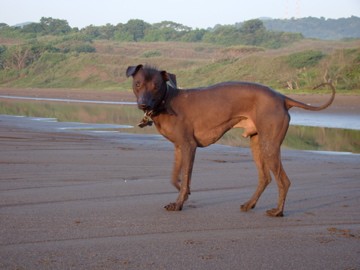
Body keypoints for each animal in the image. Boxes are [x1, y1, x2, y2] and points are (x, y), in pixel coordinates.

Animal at [126, 64, 334, 216]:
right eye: (138, 84)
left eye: (156, 86)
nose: (143, 104)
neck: (166, 100)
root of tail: (282, 97)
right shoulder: (179, 147)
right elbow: (175, 177)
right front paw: (183, 192)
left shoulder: (189, 146)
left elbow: (186, 178)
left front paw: (179, 203)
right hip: (257, 144)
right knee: (265, 178)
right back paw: (250, 204)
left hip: (270, 146)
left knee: (284, 181)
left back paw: (278, 212)